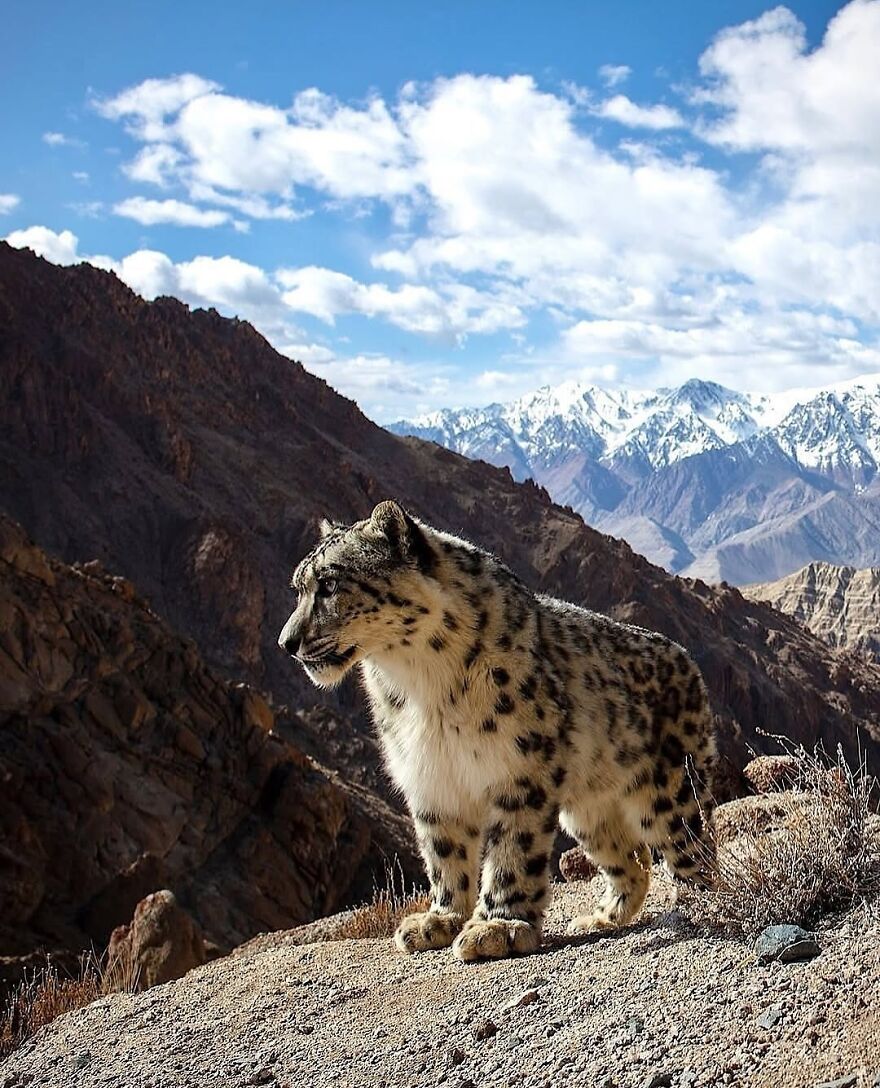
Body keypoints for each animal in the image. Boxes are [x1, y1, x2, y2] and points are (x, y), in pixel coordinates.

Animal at [278, 500, 716, 962]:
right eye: (299, 588)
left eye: (329, 584)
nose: (286, 642)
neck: (419, 684)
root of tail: (687, 660)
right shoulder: (429, 775)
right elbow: (443, 850)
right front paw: (439, 919)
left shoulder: (520, 767)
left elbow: (512, 848)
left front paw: (497, 926)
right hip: (588, 812)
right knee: (632, 860)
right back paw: (599, 919)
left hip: (671, 792)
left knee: (694, 852)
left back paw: (699, 904)